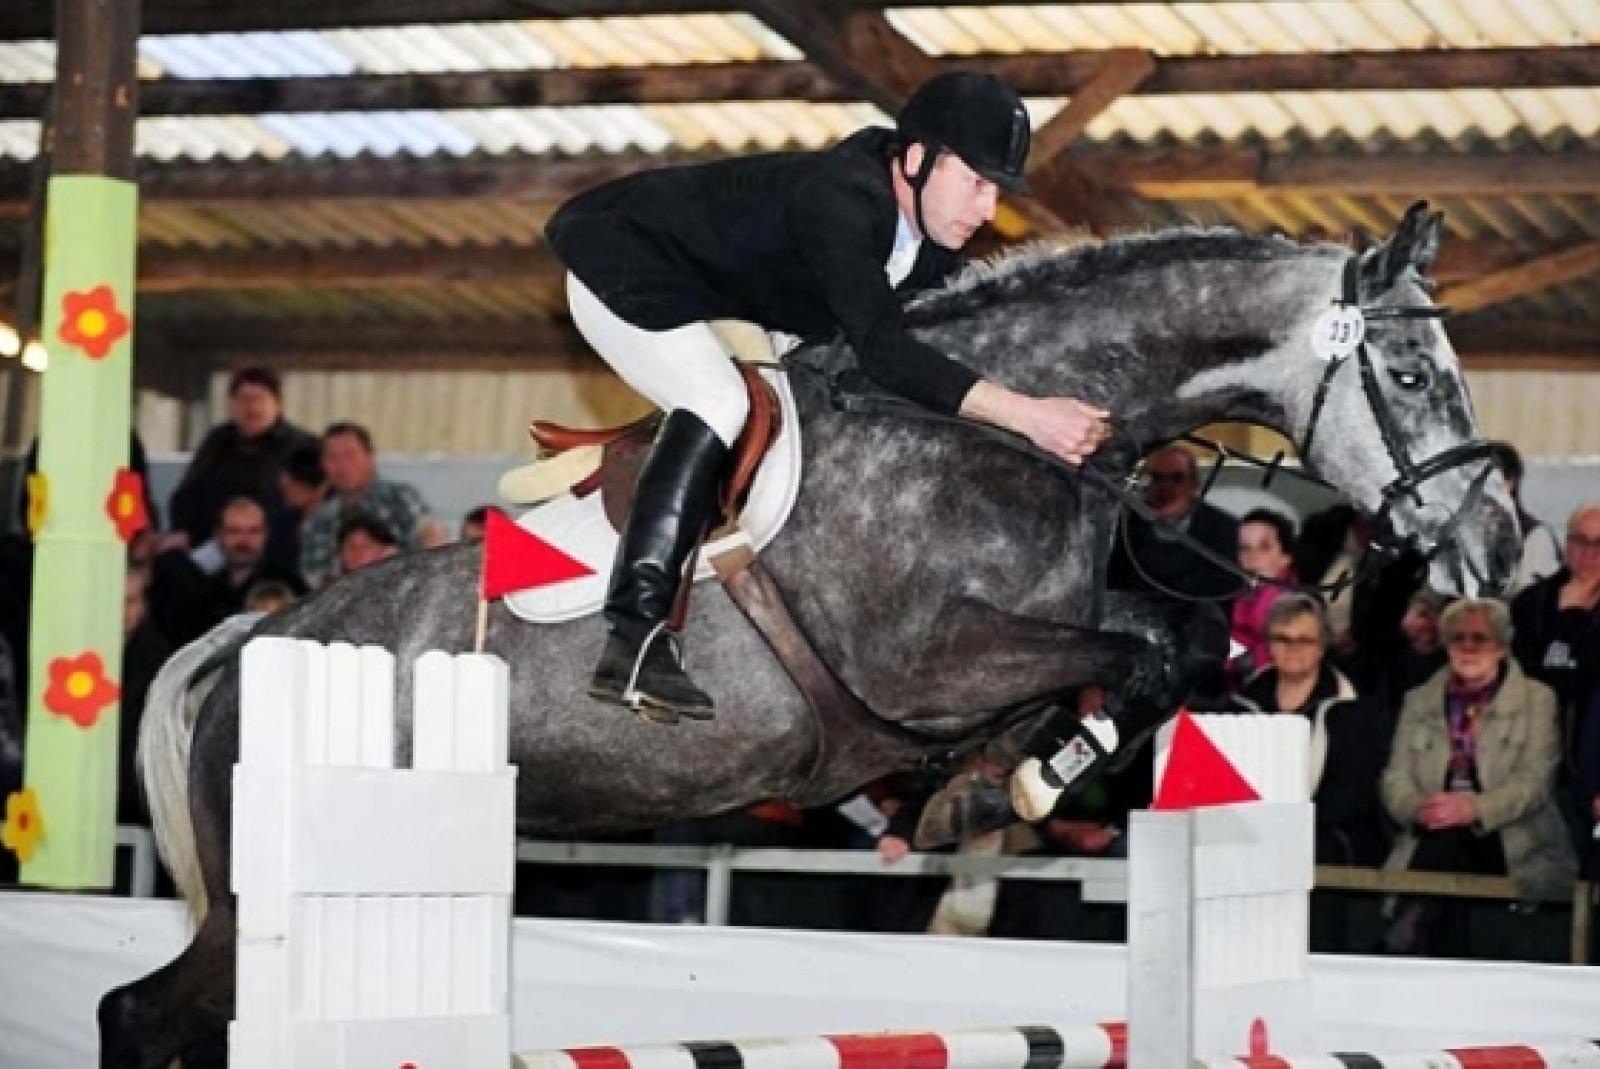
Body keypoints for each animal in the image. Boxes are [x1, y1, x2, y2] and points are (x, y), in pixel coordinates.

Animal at [100, 202, 1519, 1067]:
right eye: (1408, 375)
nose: (1497, 547)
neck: (990, 429)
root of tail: (252, 644)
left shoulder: (1038, 631)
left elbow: (1178, 643)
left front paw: (998, 785)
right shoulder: (926, 659)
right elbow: (1138, 653)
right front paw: (1000, 786)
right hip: (254, 905)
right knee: (136, 1012)